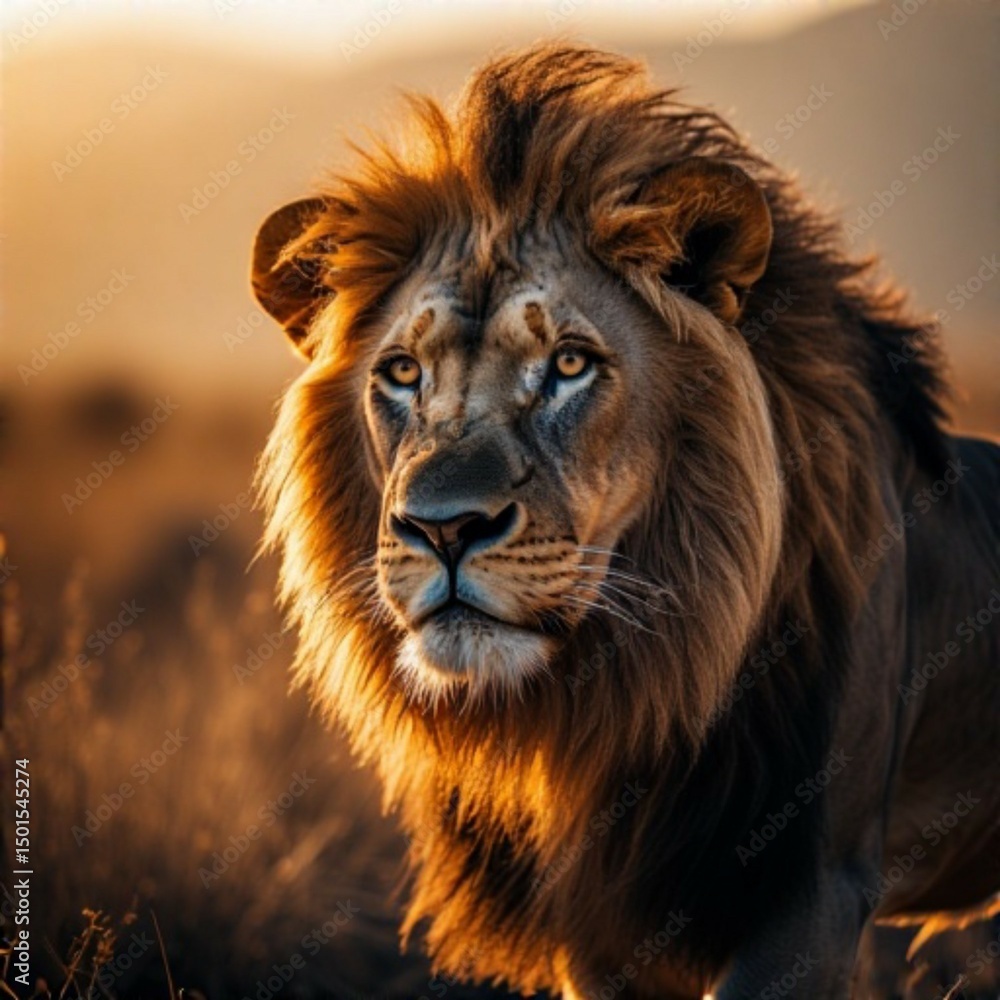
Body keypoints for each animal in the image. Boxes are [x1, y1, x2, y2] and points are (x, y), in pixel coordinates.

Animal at [251, 45, 1000, 999]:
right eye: (404, 372)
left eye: (570, 364)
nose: (444, 528)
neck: (628, 692)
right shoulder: (598, 928)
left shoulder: (812, 887)